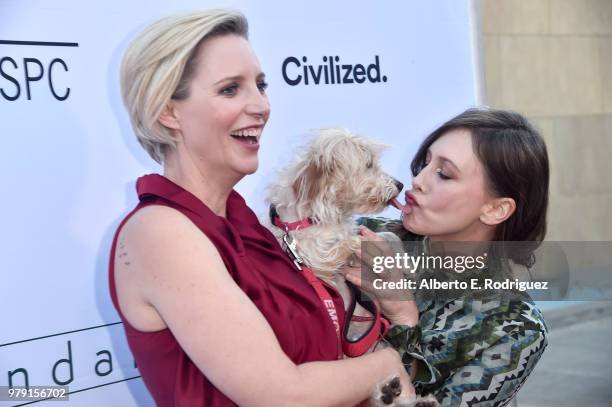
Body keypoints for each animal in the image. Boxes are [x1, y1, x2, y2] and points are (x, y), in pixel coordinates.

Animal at [266, 128, 438, 407]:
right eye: (368, 165)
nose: (400, 184)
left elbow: (387, 236)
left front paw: (408, 264)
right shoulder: (315, 253)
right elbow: (354, 240)